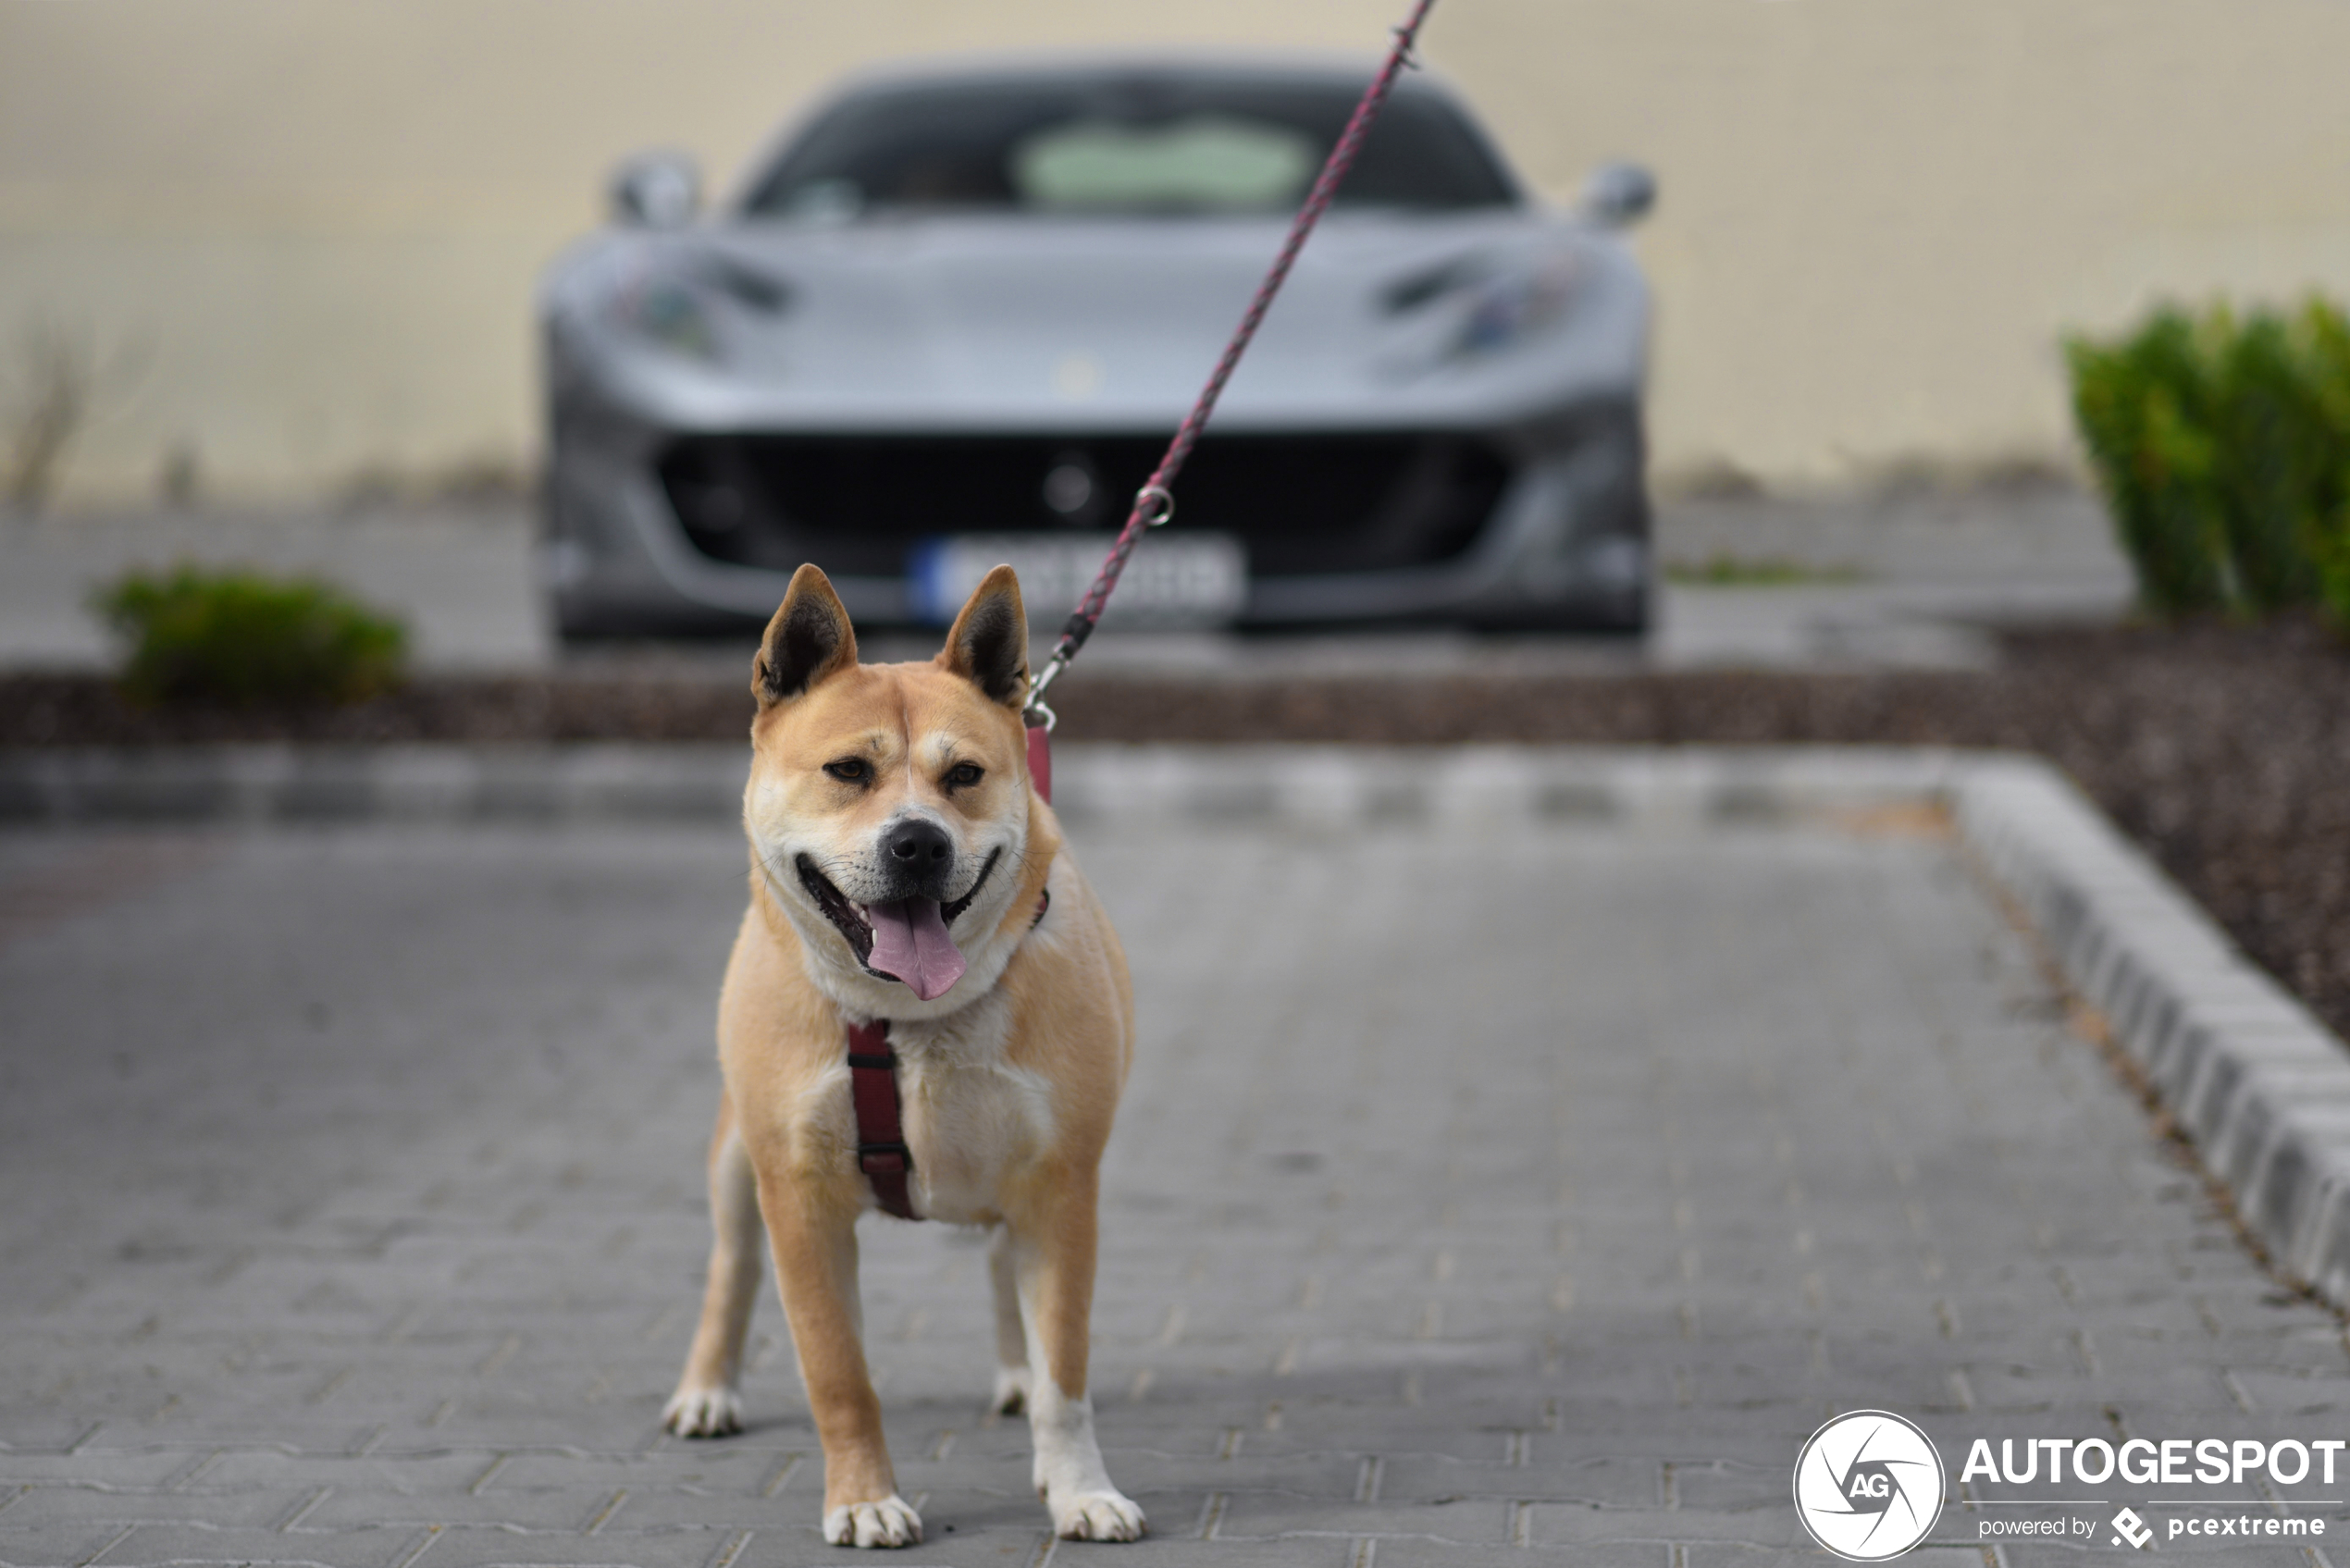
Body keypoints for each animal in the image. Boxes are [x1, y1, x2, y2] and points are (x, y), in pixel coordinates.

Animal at [662, 562, 1146, 1542]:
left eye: (964, 776)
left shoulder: (1062, 1185)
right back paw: (707, 1390)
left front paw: (1079, 1488)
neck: (907, 1019)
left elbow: (1064, 1370)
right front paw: (864, 1499)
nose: (917, 841)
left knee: (1003, 1269)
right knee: (732, 1268)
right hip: (736, 1161)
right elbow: (838, 1373)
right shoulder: (800, 1199)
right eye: (848, 770)